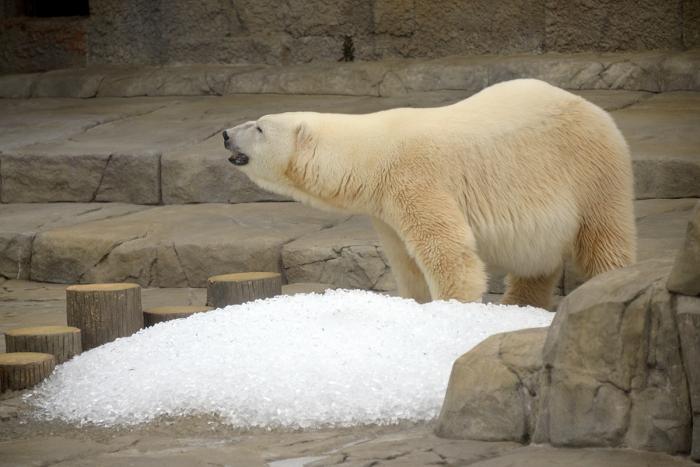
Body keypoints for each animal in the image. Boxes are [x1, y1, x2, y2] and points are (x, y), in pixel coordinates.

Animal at [223, 78, 636, 308]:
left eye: (259, 128)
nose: (226, 134)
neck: (372, 152)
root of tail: (595, 109)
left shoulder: (414, 178)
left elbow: (448, 252)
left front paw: (451, 308)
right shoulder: (385, 210)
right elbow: (407, 263)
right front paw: (416, 304)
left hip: (589, 168)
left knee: (604, 238)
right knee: (536, 263)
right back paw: (518, 303)